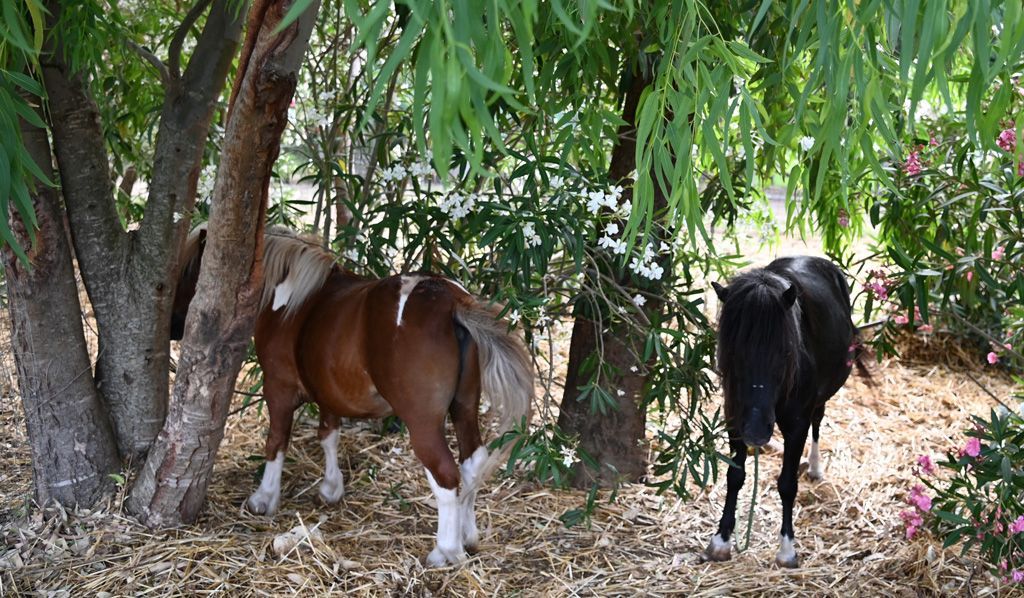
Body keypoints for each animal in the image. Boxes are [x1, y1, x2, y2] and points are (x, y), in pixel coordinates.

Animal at [171, 225, 533, 567]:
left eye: (190, 273)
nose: (175, 327)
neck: (289, 299)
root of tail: (450, 303)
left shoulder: (278, 388)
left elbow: (276, 442)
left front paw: (265, 498)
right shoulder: (328, 390)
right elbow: (328, 434)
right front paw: (331, 488)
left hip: (423, 423)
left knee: (445, 474)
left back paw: (446, 550)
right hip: (465, 407)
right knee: (472, 463)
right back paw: (468, 537)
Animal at [705, 256, 864, 568]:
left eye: (785, 353)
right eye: (732, 354)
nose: (756, 433)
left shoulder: (796, 425)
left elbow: (787, 484)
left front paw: (787, 549)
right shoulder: (734, 418)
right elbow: (734, 476)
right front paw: (721, 540)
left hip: (821, 397)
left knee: (818, 420)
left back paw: (814, 467)